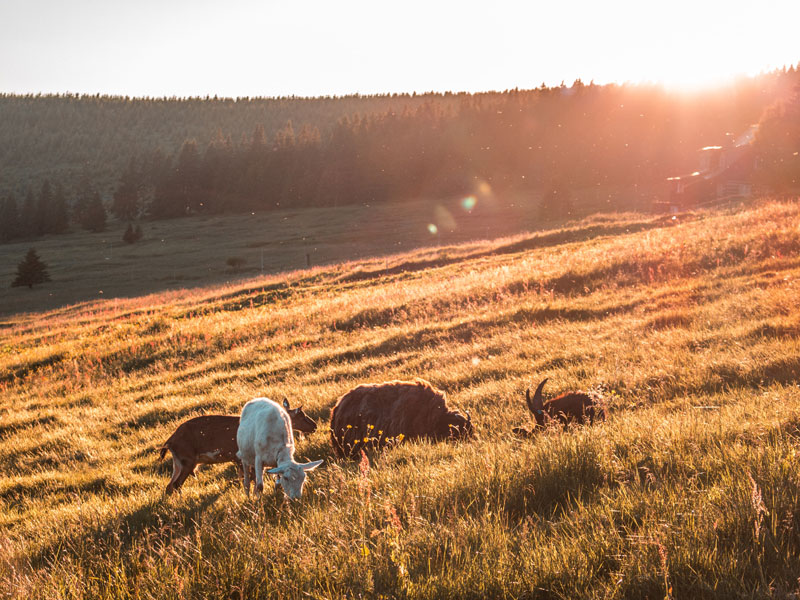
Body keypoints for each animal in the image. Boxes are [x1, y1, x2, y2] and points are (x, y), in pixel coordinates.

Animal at [158, 398, 318, 492]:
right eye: (301, 416)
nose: (314, 426)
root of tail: (169, 442)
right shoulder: (239, 457)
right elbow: (250, 478)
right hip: (187, 460)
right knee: (176, 484)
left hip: (178, 462)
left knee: (169, 485)